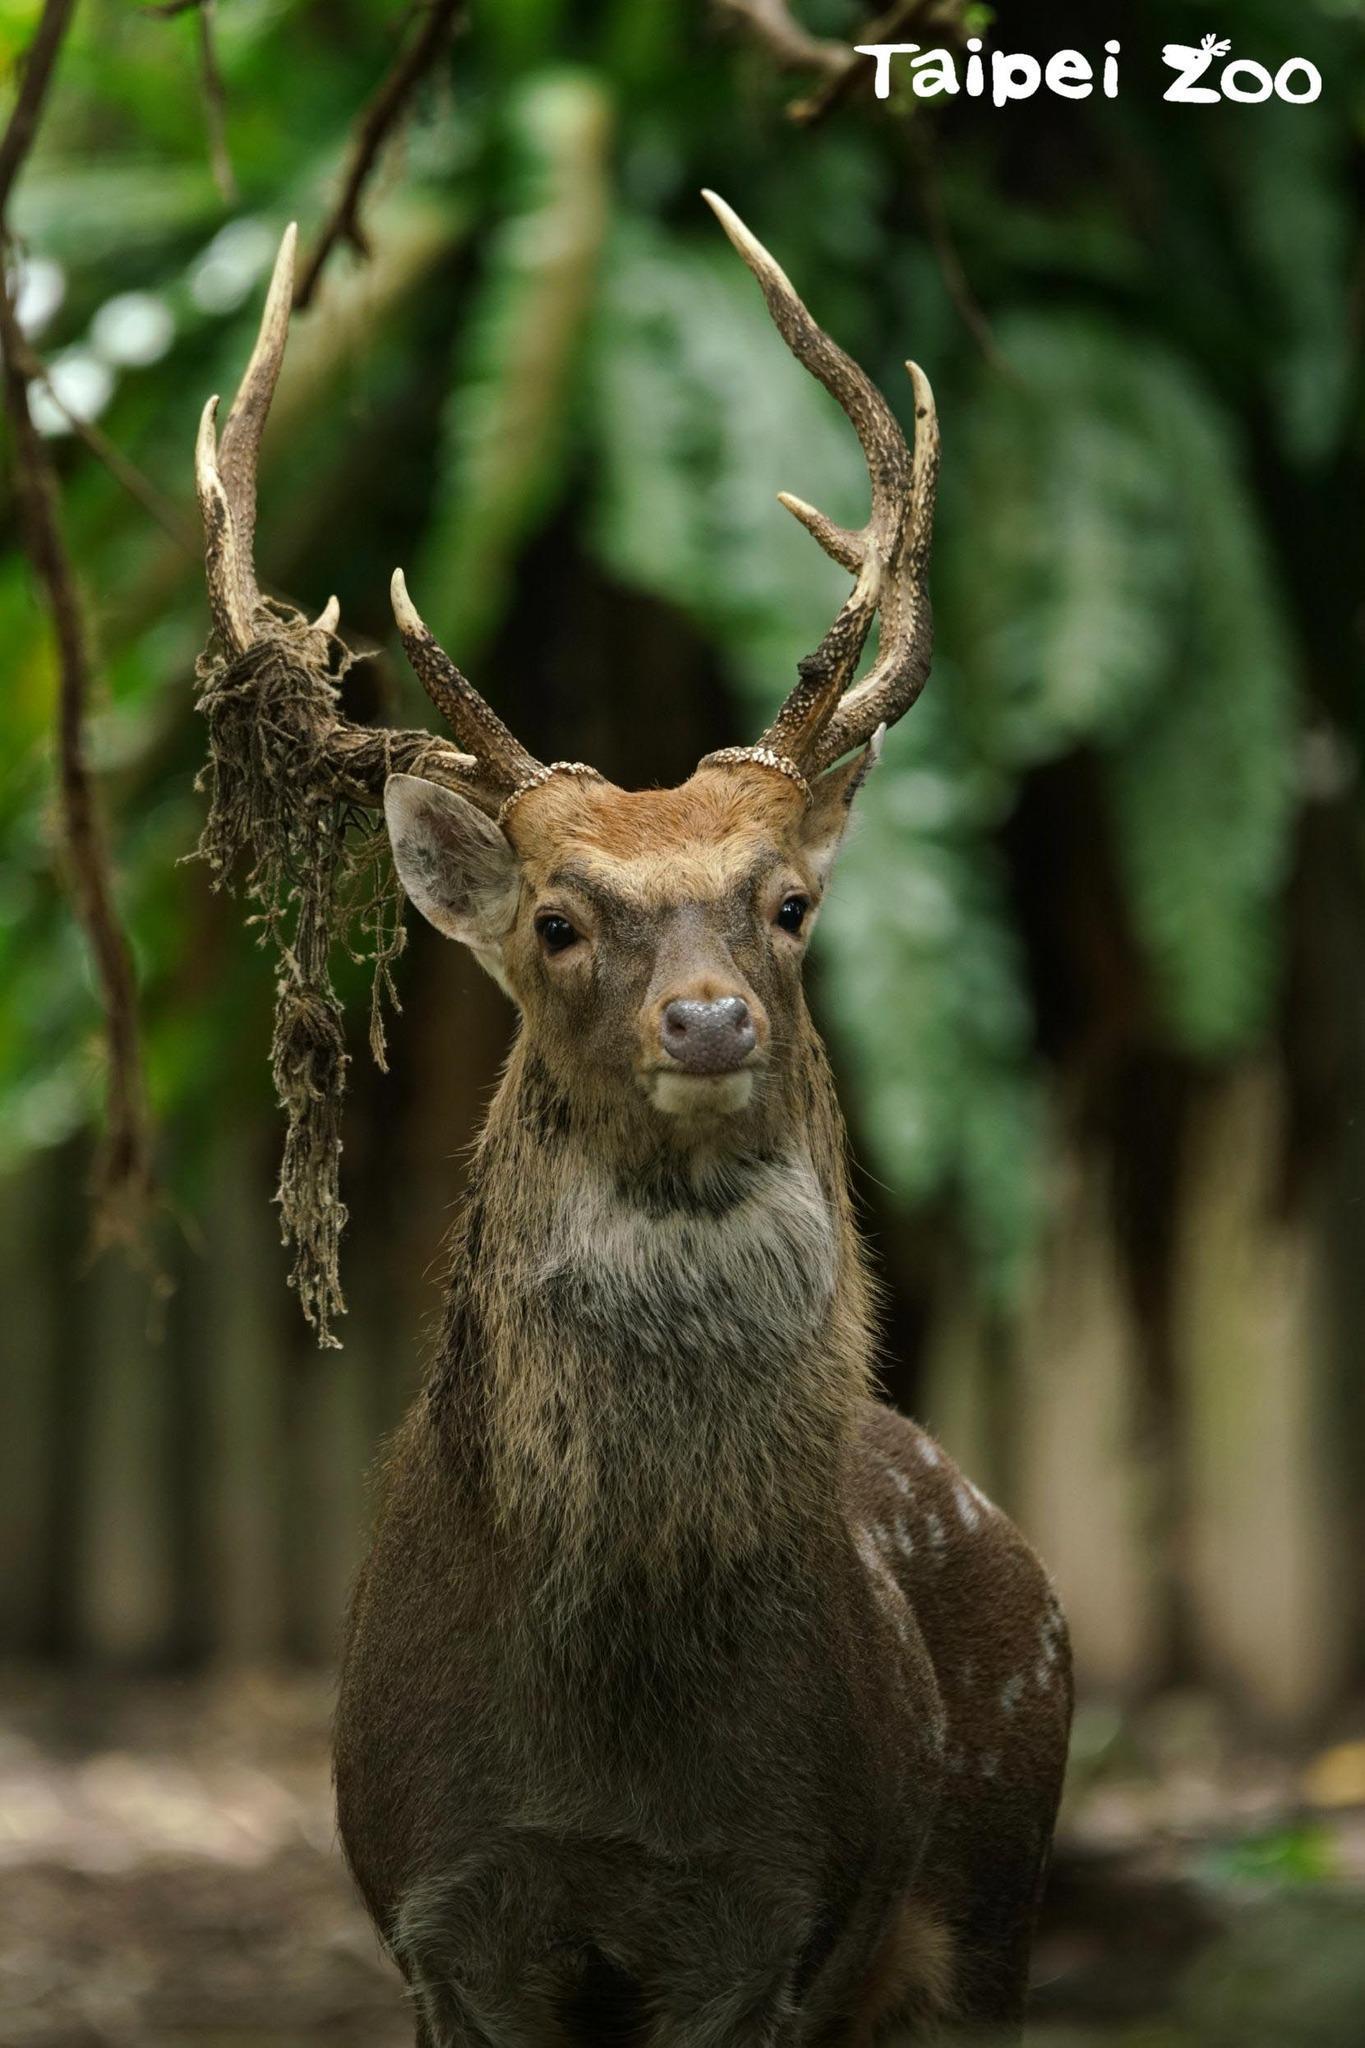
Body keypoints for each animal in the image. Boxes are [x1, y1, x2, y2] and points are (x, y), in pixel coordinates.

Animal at [195, 193, 1071, 2047]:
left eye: (790, 904)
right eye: (556, 920)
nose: (711, 1015)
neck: (607, 1744)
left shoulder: (770, 1911)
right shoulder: (440, 1906)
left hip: (992, 1900)